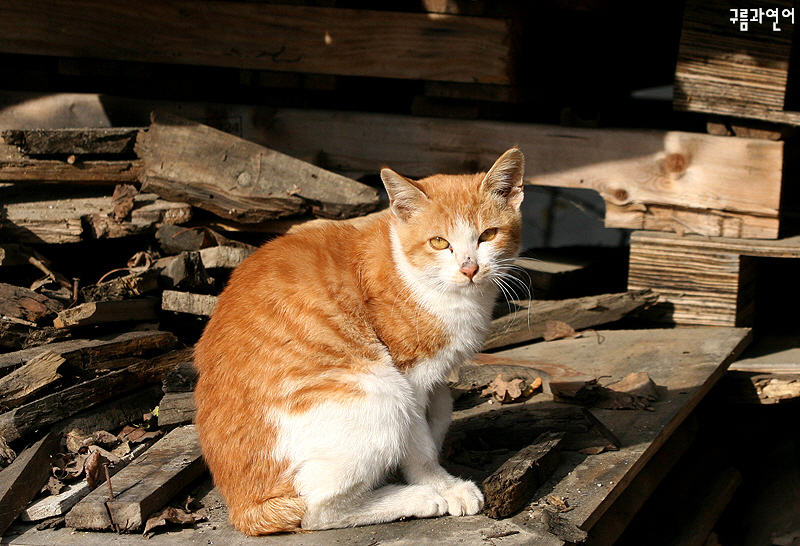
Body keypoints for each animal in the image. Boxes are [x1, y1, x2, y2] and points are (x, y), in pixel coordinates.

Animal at [193, 147, 524, 532]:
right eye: (440, 242)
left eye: (488, 235)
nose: (470, 268)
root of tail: (243, 507)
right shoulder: (410, 379)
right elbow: (420, 446)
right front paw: (440, 485)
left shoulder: (436, 385)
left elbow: (438, 417)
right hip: (381, 390)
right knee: (317, 511)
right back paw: (415, 498)